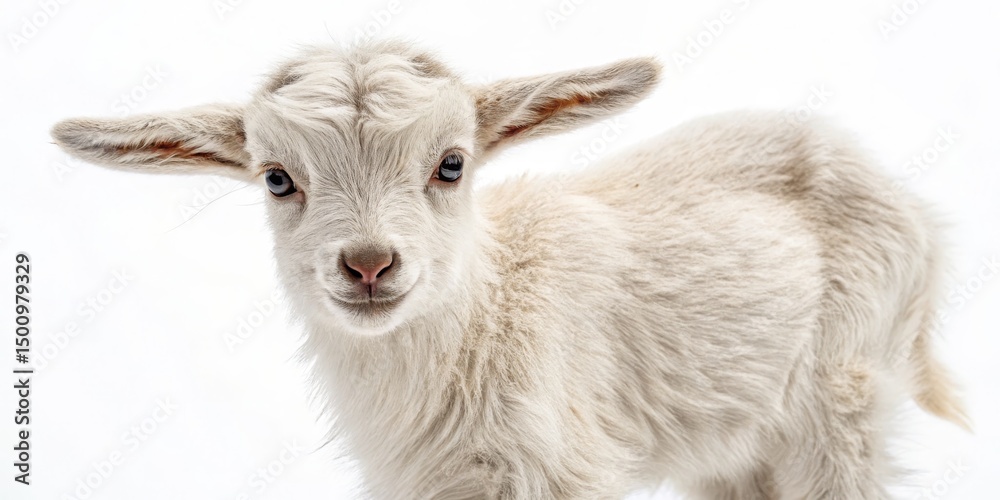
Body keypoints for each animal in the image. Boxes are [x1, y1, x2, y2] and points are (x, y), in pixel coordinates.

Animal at [51, 40, 968, 499]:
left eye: (452, 164)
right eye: (277, 179)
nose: (370, 264)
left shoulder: (562, 466)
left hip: (845, 391)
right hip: (732, 437)